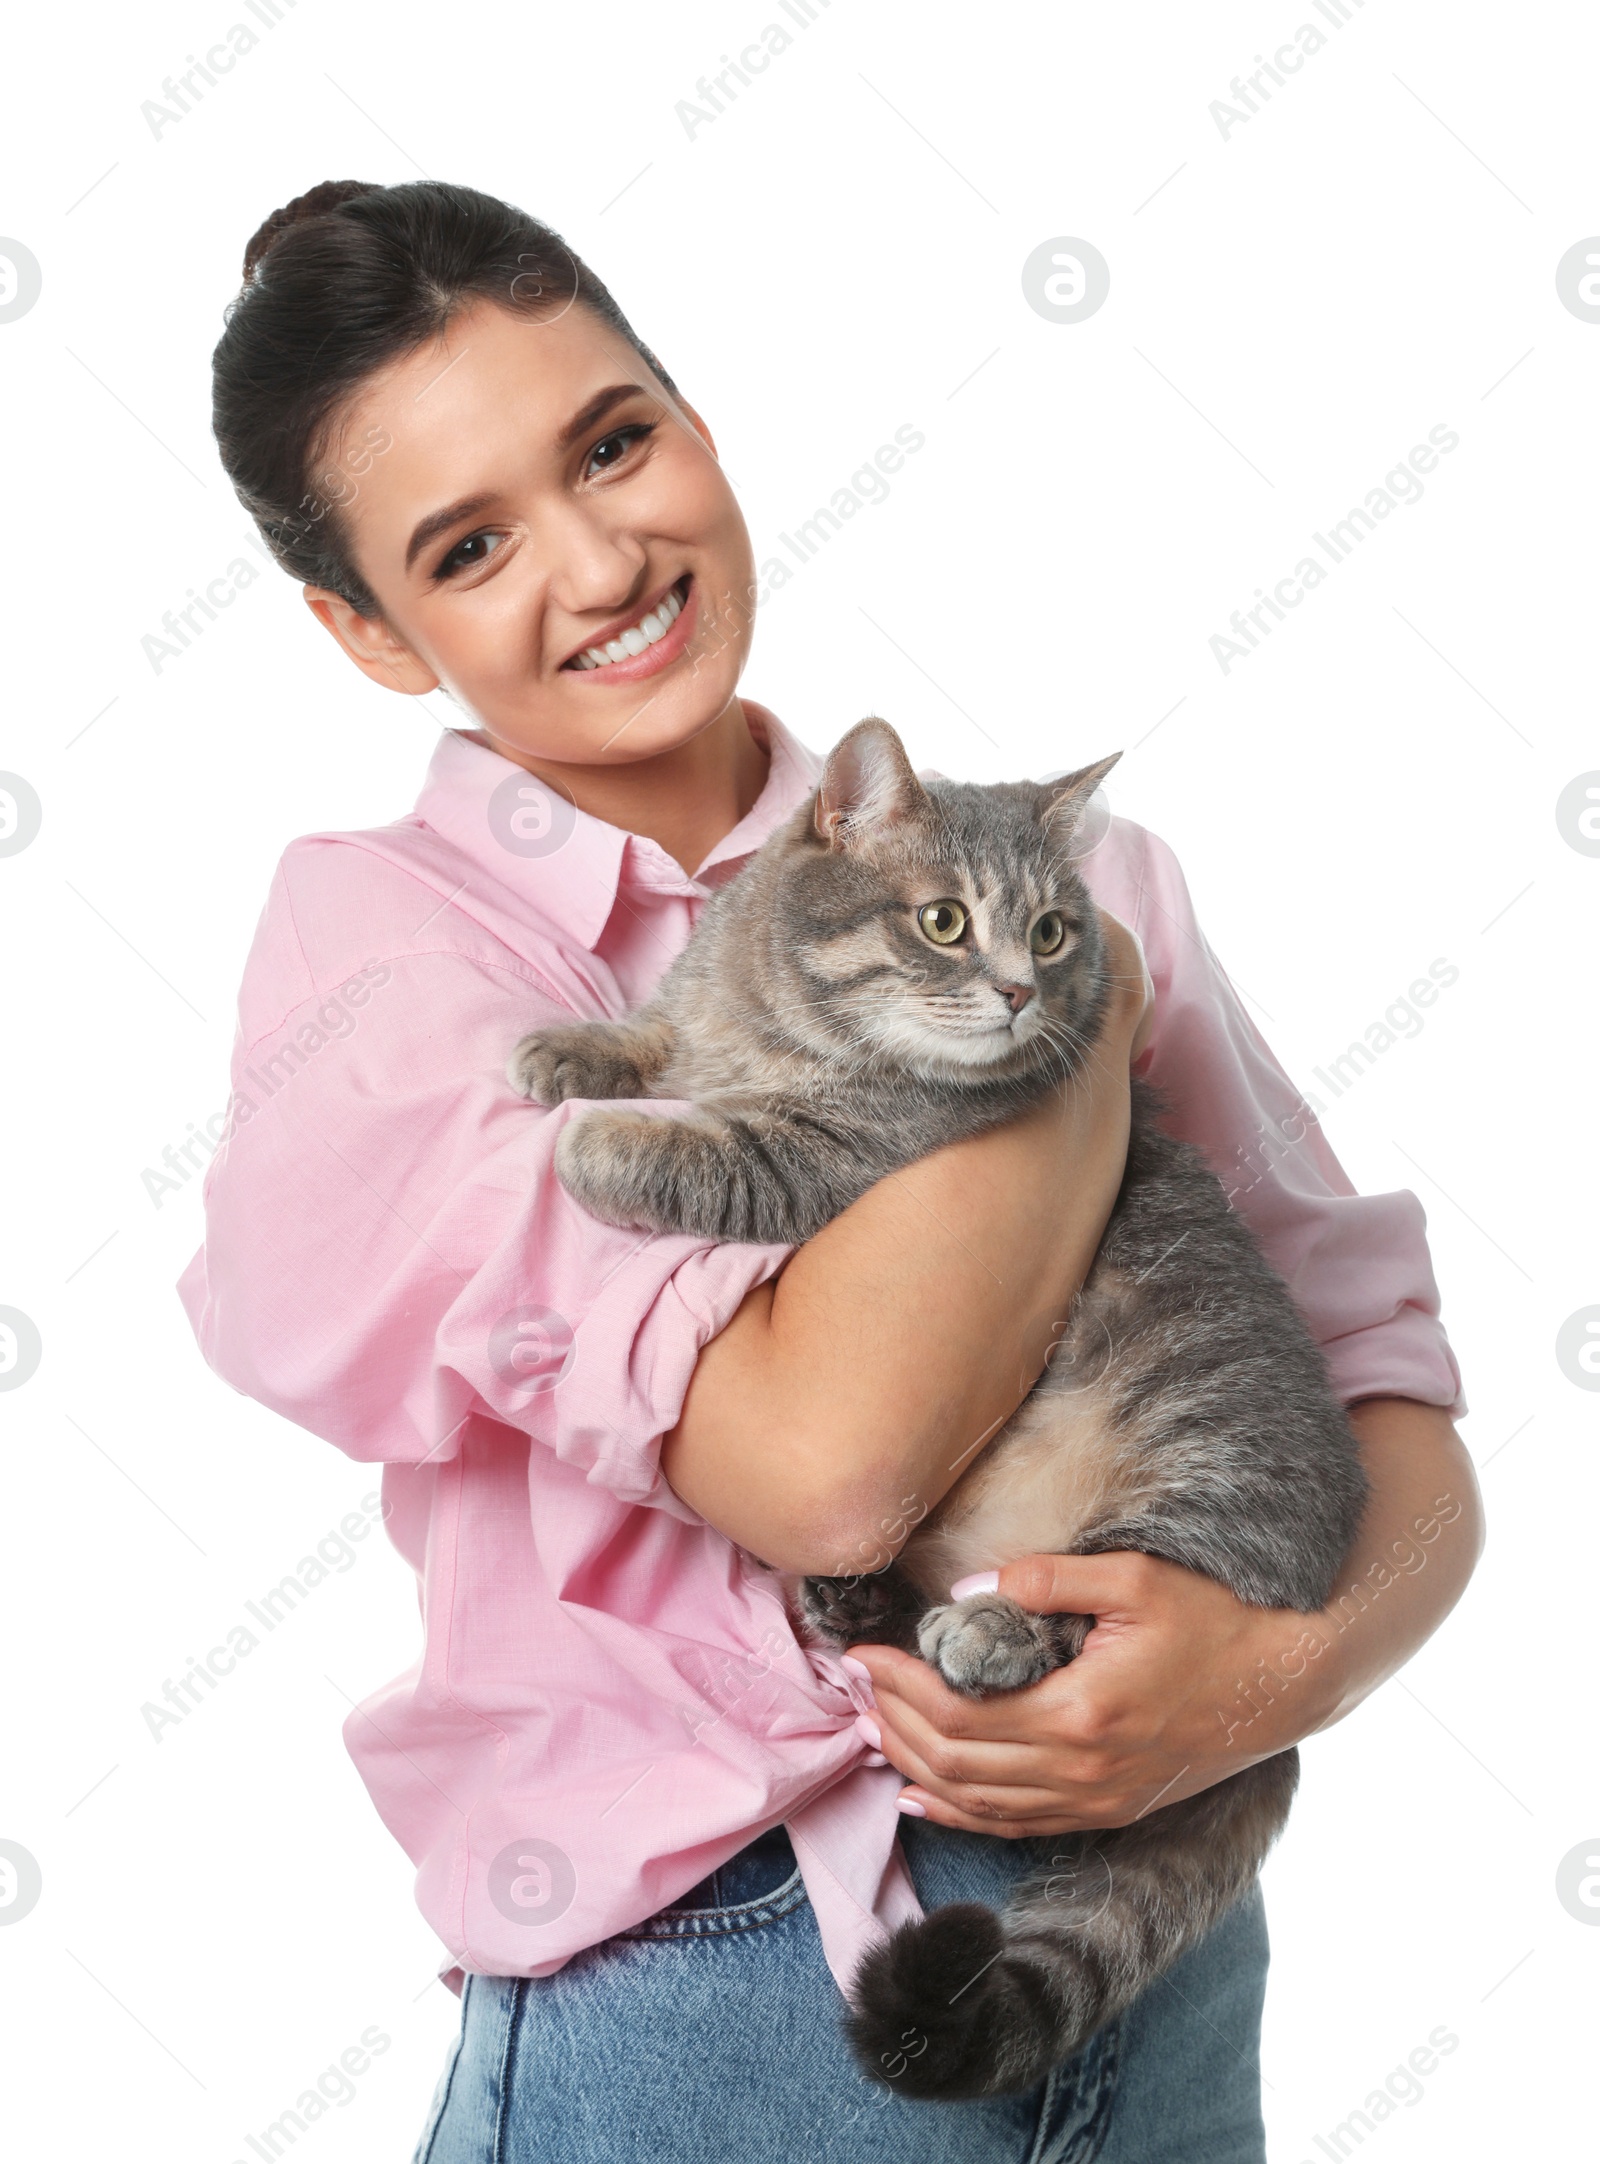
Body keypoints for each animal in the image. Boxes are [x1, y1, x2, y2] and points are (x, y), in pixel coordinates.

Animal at [510, 722, 1368, 2094]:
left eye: (1055, 933)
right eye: (945, 921)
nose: (1020, 990)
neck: (771, 1015)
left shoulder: (827, 1160)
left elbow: (707, 1145)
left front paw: (603, 1138)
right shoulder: (700, 1016)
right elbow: (655, 1032)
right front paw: (580, 1050)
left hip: (1203, 1474)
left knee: (1091, 1604)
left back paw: (993, 1628)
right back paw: (853, 1599)